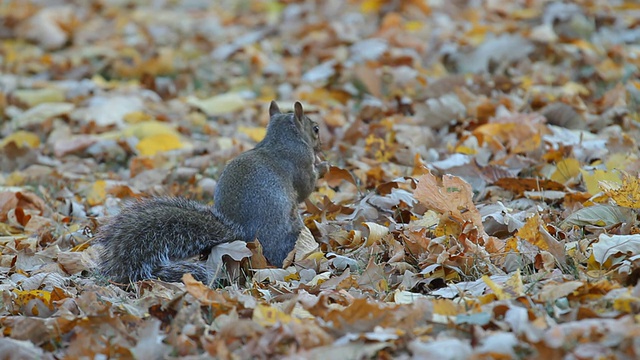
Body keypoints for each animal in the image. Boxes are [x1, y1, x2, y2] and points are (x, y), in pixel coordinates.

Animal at [97, 100, 328, 284]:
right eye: (316, 129)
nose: (322, 147)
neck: (280, 139)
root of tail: (241, 235)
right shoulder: (300, 164)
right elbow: (306, 187)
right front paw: (324, 167)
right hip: (286, 232)